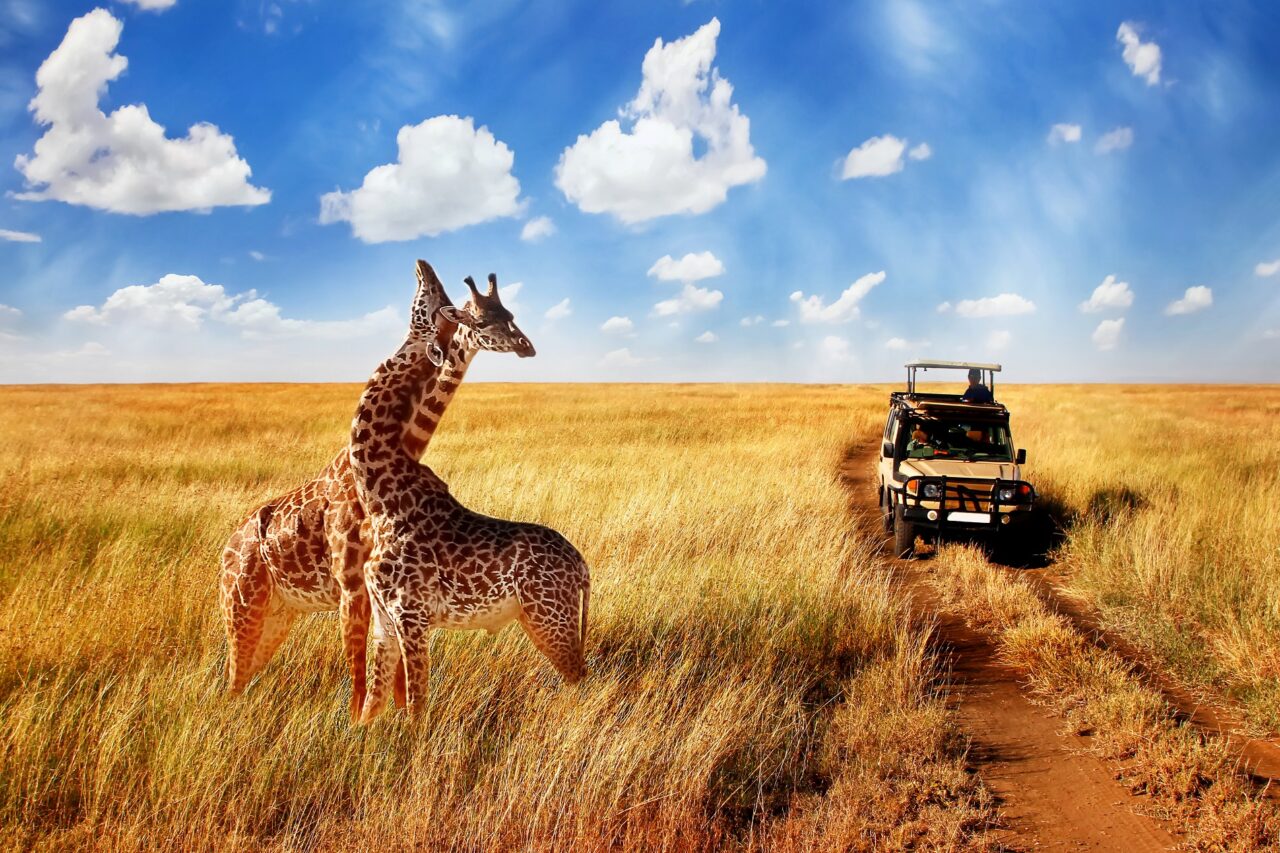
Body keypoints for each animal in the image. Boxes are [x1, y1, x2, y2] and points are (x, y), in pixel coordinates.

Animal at [220, 258, 529, 717]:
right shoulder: (354, 586)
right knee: (233, 678)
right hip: (242, 607)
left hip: (278, 613)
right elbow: (362, 673)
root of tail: (226, 549)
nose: (526, 346)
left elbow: (389, 673)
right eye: (477, 315)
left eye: (507, 314)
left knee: (243, 677)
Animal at [348, 277, 591, 717]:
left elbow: (416, 705)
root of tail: (582, 567)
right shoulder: (384, 619)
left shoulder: (412, 615)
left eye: (509, 315)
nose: (527, 345)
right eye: (481, 319)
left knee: (580, 676)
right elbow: (372, 706)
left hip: (550, 618)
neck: (380, 498)